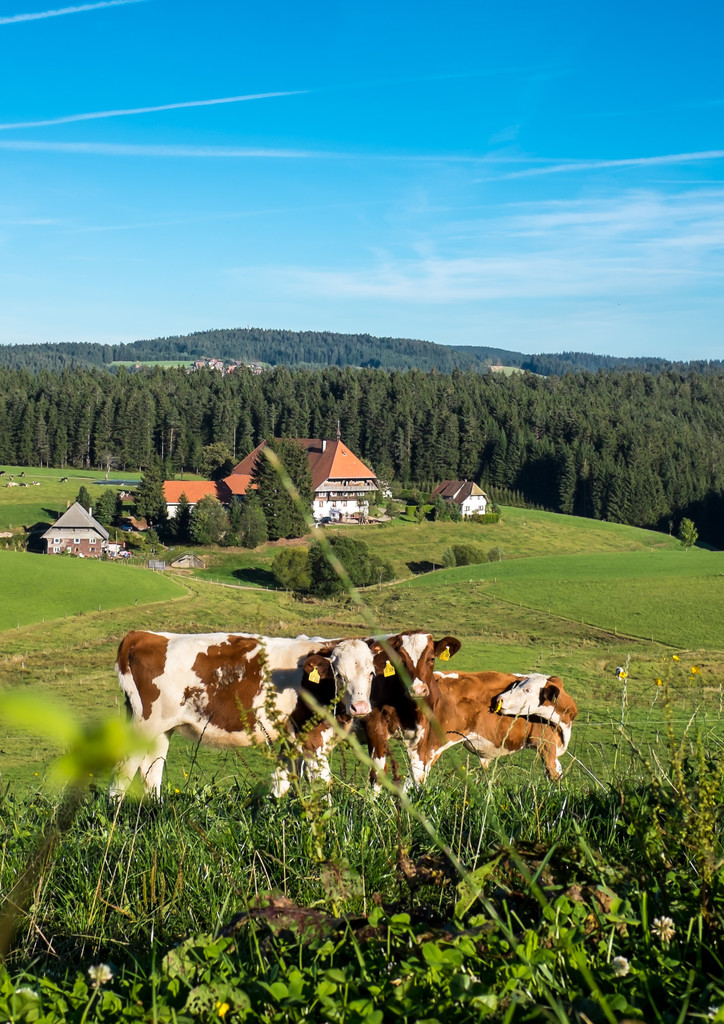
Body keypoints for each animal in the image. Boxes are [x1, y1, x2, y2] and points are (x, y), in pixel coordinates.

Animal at [110, 622, 382, 798]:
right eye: (340, 675)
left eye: (371, 673)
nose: (360, 707)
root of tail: (147, 635)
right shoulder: (313, 740)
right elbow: (321, 785)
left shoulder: (289, 740)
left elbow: (281, 783)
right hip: (144, 725)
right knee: (122, 773)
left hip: (161, 729)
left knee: (151, 771)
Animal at [368, 667, 577, 786]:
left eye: (527, 689)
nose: (498, 700)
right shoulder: (547, 745)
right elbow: (555, 776)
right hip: (427, 748)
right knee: (413, 782)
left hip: (379, 741)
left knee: (376, 778)